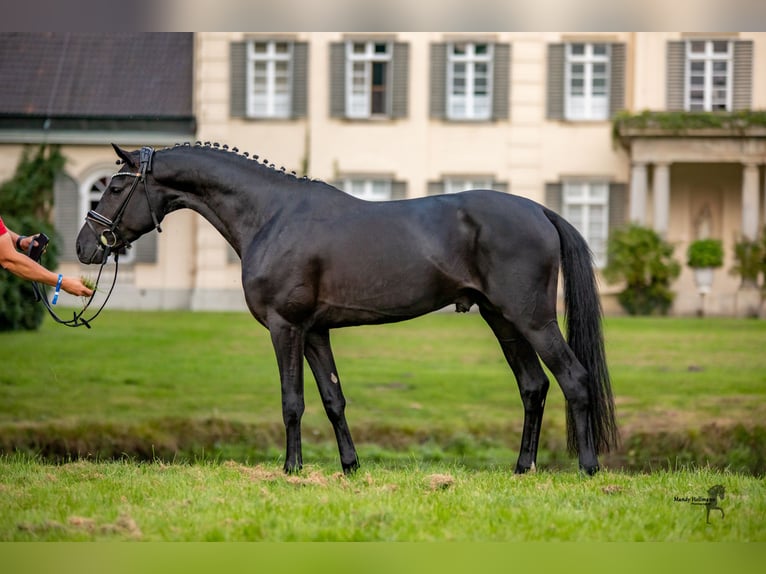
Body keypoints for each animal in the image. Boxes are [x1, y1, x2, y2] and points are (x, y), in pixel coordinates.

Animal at [76, 143, 618, 476]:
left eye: (116, 186)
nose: (85, 246)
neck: (271, 215)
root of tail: (540, 210)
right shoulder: (316, 332)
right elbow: (333, 399)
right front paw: (351, 466)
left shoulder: (285, 328)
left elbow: (292, 401)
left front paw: (291, 468)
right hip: (503, 321)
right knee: (534, 387)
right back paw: (522, 468)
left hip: (533, 320)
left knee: (574, 379)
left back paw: (588, 468)